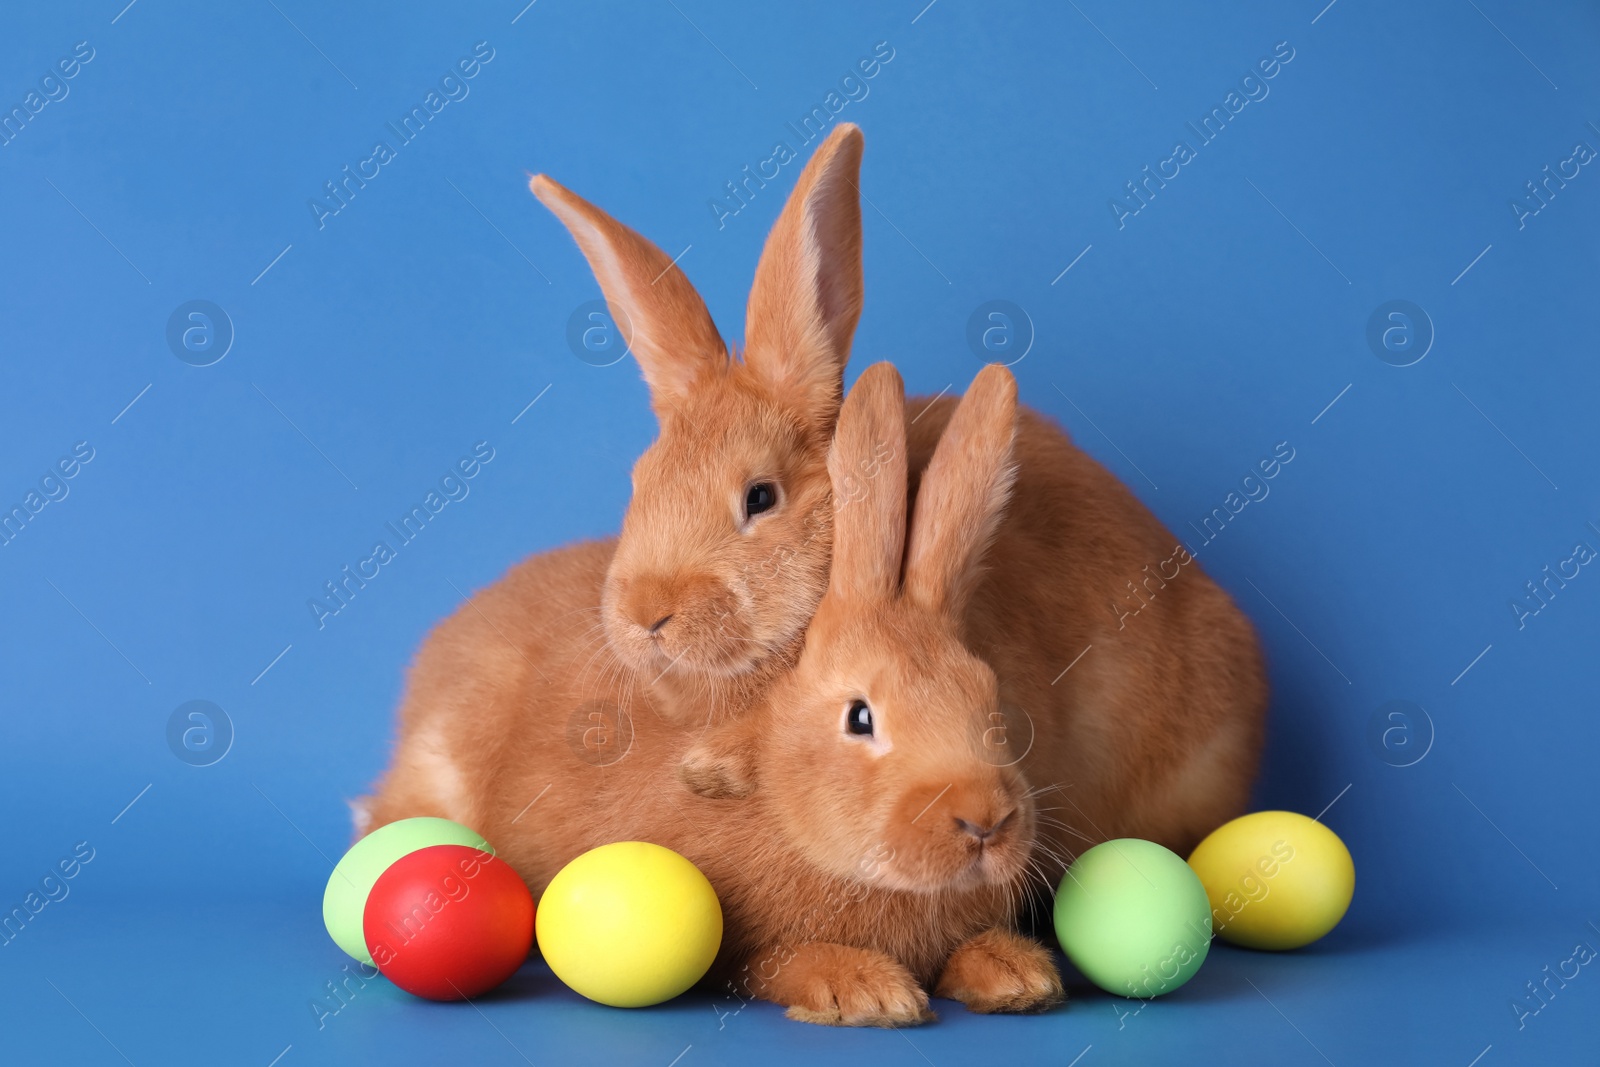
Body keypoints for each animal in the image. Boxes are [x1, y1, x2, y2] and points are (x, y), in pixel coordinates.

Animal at [374, 363, 1068, 1030]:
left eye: (988, 697)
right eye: (860, 717)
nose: (986, 820)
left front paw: (1017, 976)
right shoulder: (739, 952)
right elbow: (781, 962)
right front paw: (864, 992)